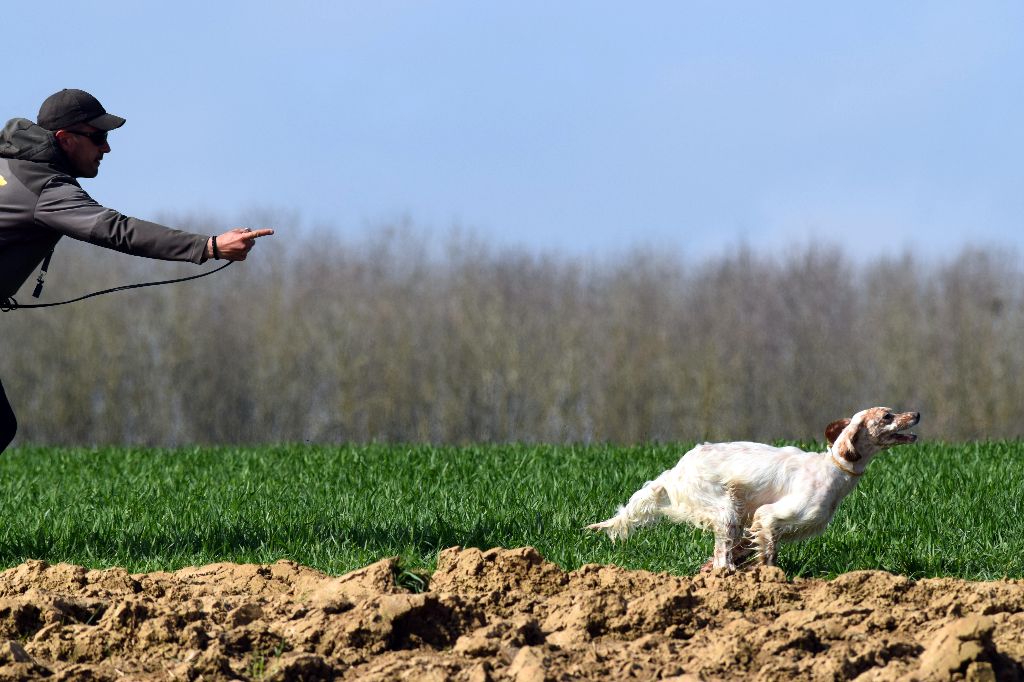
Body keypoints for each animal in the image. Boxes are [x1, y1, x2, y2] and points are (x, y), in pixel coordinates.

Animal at [585, 403, 921, 569]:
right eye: (887, 415)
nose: (917, 414)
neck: (833, 468)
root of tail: (674, 471)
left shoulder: (762, 527)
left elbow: (748, 548)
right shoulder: (770, 516)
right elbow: (768, 554)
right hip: (726, 511)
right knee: (722, 560)